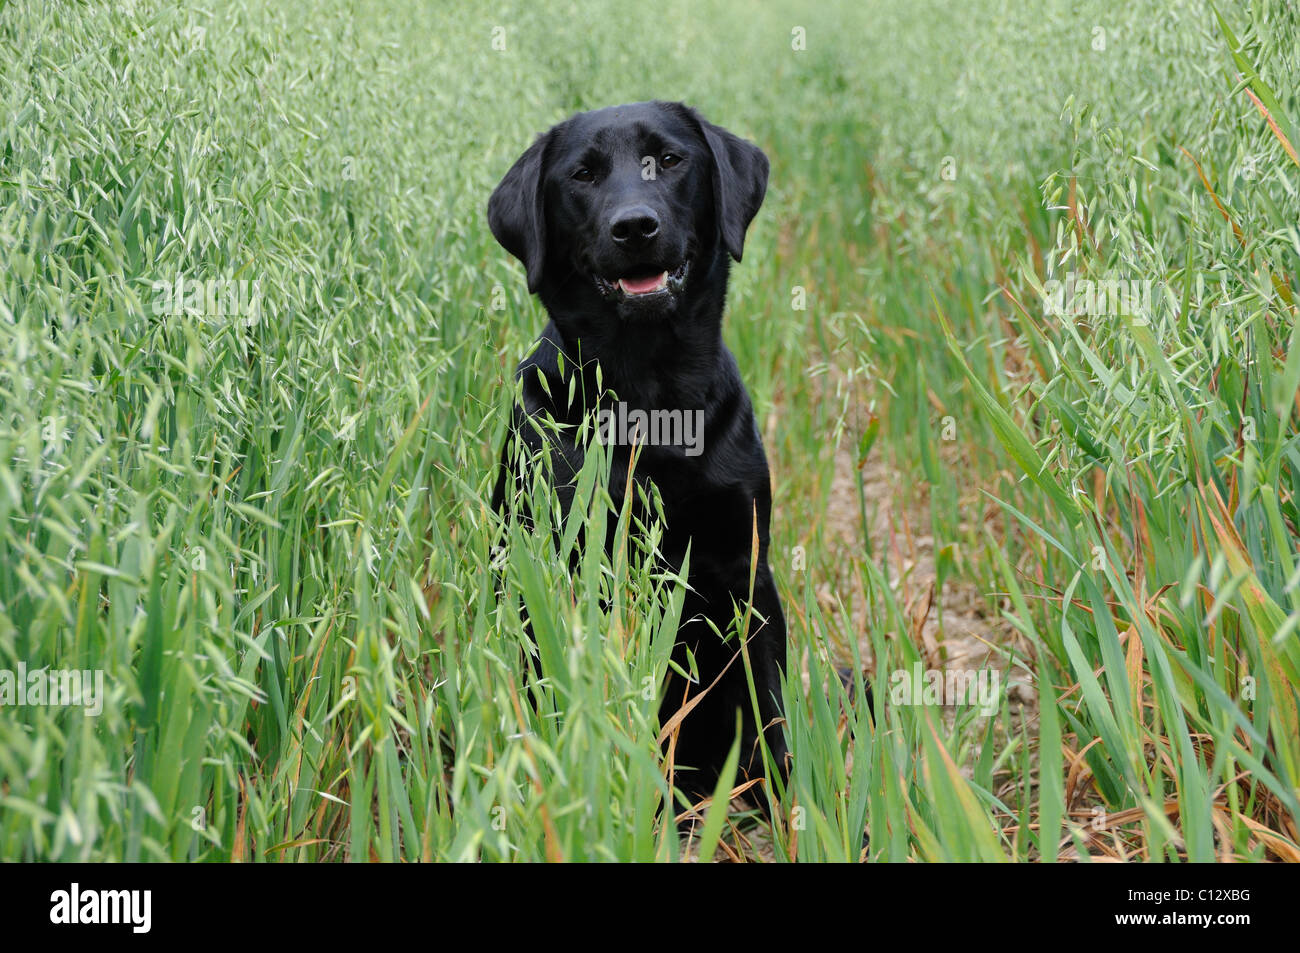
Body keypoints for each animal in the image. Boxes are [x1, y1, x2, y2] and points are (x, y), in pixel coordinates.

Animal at [486, 100, 780, 806]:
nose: (635, 226)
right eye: (583, 175)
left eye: (669, 160)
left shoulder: (746, 572)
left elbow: (770, 715)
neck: (653, 401)